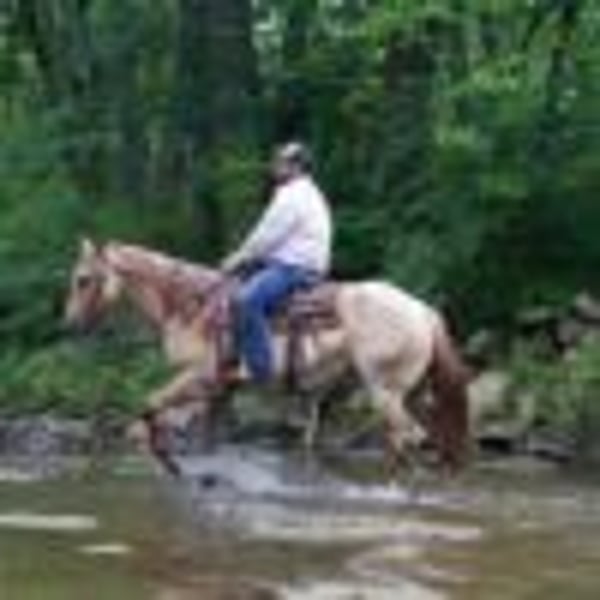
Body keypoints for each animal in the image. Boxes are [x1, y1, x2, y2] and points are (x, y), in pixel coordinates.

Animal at [63, 238, 470, 477]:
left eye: (83, 279)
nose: (70, 323)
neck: (191, 306)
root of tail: (423, 312)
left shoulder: (198, 378)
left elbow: (149, 406)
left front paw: (168, 459)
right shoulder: (219, 391)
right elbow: (205, 435)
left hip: (384, 392)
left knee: (406, 439)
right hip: (413, 395)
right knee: (427, 440)